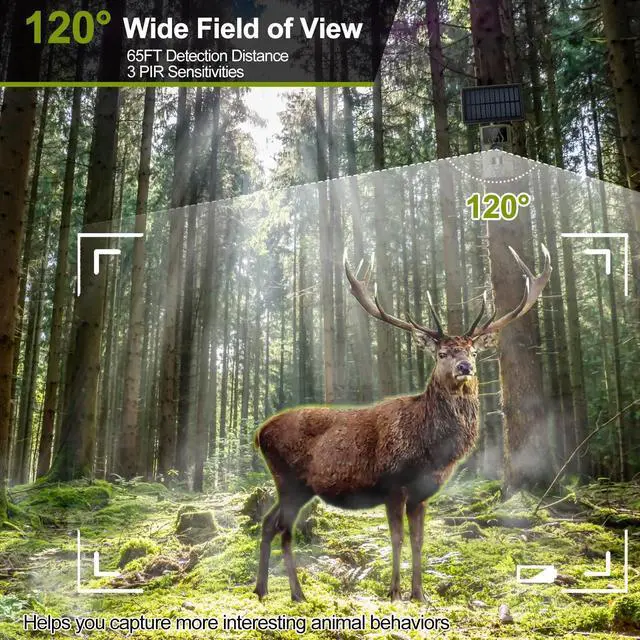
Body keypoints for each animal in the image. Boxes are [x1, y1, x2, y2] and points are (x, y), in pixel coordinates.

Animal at [253, 244, 551, 602]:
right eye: (441, 354)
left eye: (473, 352)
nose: (465, 367)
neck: (430, 449)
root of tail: (259, 433)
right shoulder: (392, 484)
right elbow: (396, 538)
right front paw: (395, 592)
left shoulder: (421, 494)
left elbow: (419, 540)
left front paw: (420, 594)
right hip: (288, 480)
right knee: (279, 527)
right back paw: (288, 592)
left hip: (298, 487)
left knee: (272, 525)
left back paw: (270, 590)